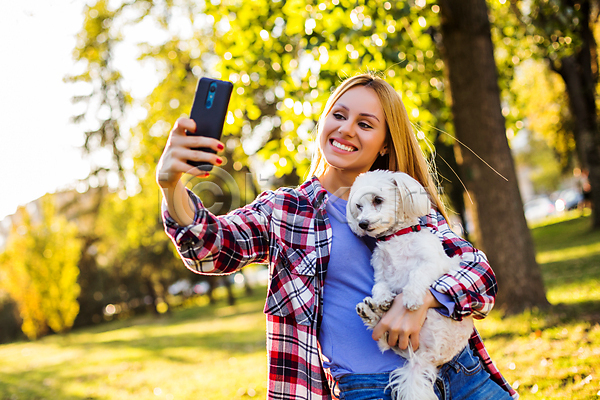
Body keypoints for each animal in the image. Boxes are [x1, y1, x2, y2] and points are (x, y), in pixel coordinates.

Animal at [346, 170, 474, 400]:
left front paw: (412, 298)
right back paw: (369, 313)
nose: (362, 223)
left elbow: (417, 273)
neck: (395, 237)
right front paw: (383, 299)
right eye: (358, 206)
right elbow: (379, 286)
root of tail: (424, 359)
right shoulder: (380, 274)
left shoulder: (433, 263)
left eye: (378, 200)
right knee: (383, 338)